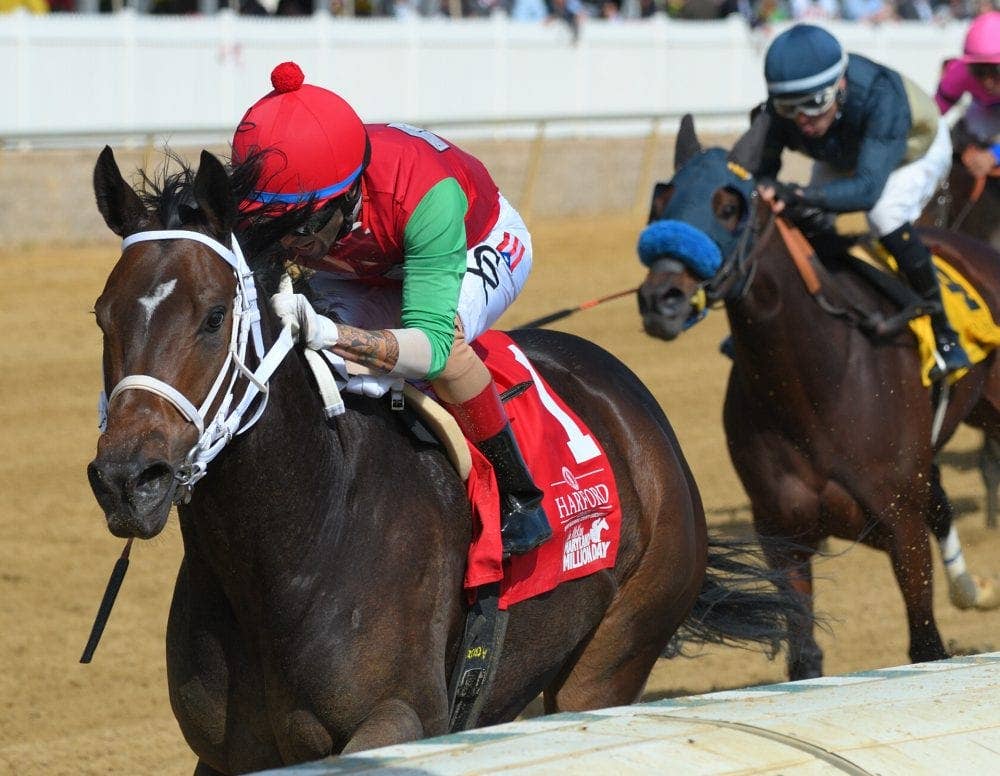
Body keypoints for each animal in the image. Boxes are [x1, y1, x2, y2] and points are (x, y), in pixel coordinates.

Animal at [87, 146, 806, 775]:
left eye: (213, 317)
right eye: (102, 316)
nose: (128, 480)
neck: (296, 553)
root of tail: (637, 406)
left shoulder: (403, 717)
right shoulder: (223, 753)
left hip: (615, 651)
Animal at [635, 114, 1000, 681]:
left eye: (729, 208)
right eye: (662, 201)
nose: (661, 300)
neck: (817, 383)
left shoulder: (902, 529)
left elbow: (926, 645)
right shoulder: (783, 535)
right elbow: (804, 657)